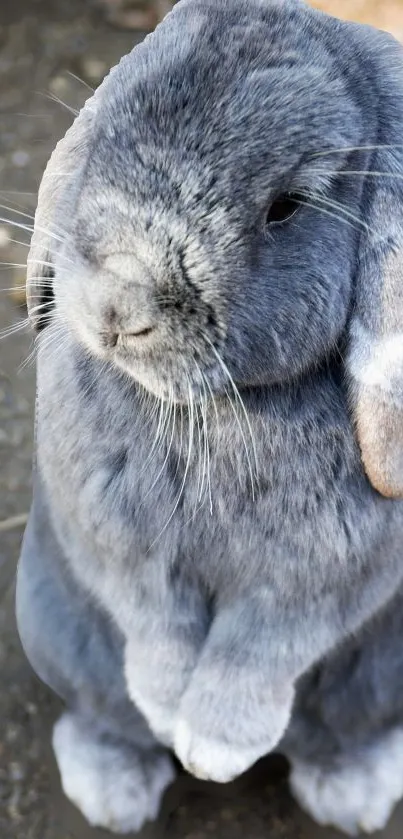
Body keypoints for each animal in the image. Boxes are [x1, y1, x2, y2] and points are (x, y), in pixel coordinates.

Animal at [15, 0, 403, 833]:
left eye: (285, 206)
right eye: (106, 130)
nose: (116, 306)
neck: (216, 410)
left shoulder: (321, 582)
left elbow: (261, 646)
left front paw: (215, 748)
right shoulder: (116, 544)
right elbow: (152, 620)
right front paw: (169, 714)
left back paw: (351, 791)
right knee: (100, 714)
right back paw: (113, 790)